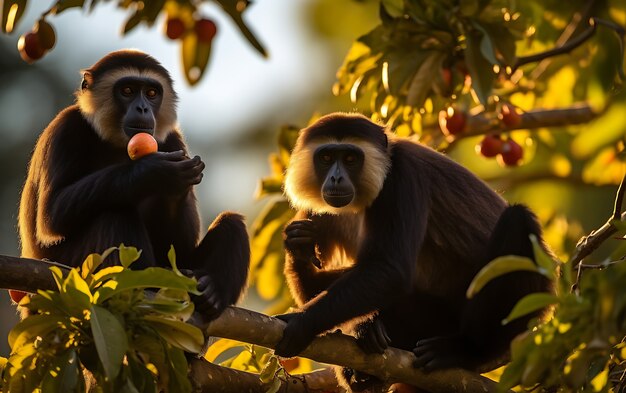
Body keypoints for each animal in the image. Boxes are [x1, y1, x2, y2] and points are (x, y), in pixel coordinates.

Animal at [16, 49, 249, 318]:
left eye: (151, 93)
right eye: (127, 91)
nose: (143, 108)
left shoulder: (172, 139)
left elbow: (177, 247)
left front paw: (177, 186)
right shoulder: (65, 128)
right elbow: (51, 217)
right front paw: (154, 172)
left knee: (232, 222)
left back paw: (211, 294)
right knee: (114, 214)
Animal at [276, 112, 548, 390]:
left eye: (350, 159)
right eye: (327, 158)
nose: (336, 178)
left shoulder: (401, 176)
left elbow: (390, 272)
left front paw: (301, 322)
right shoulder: (319, 211)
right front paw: (299, 247)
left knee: (518, 221)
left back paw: (464, 350)